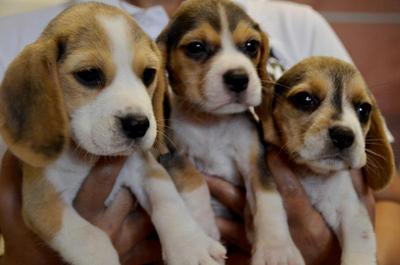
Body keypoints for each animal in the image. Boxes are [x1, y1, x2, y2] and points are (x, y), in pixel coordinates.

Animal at [0, 2, 225, 264]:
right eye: (88, 74)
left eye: (149, 74)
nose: (138, 125)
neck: (86, 159)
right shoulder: (44, 201)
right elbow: (90, 238)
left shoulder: (146, 168)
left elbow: (168, 202)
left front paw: (191, 248)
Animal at [156, 0, 304, 264]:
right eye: (196, 47)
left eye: (251, 45)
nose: (238, 78)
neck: (211, 122)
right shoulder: (174, 156)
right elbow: (194, 182)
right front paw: (204, 231)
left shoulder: (255, 162)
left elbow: (268, 200)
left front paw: (276, 248)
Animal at [258, 55, 396, 262]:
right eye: (305, 99)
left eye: (363, 109)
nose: (344, 136)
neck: (311, 175)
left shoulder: (352, 214)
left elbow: (358, 253)